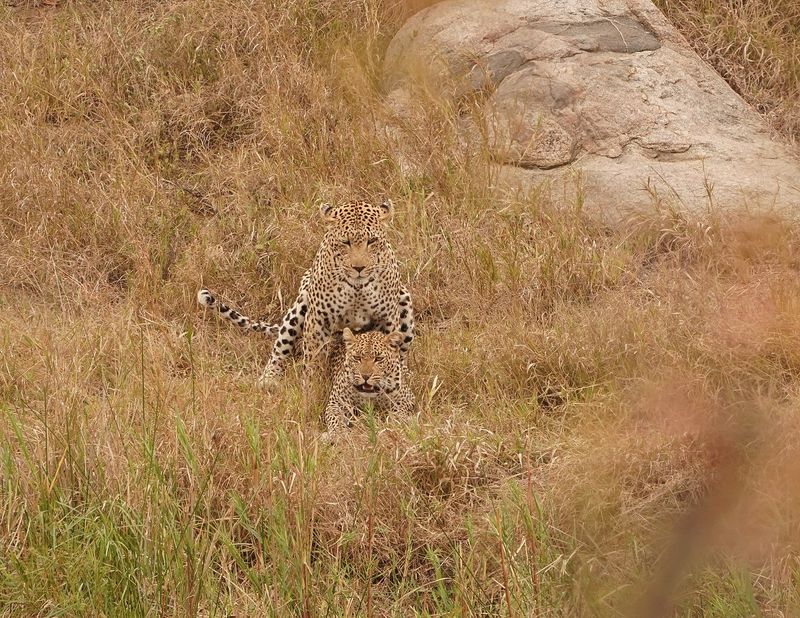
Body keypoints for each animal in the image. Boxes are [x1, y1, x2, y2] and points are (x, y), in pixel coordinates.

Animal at [197, 199, 414, 386]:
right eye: (345, 242)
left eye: (372, 241)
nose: (359, 268)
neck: (357, 289)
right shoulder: (319, 320)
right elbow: (313, 360)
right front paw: (311, 389)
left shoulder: (386, 320)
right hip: (300, 305)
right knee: (280, 347)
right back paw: (268, 379)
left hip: (404, 300)